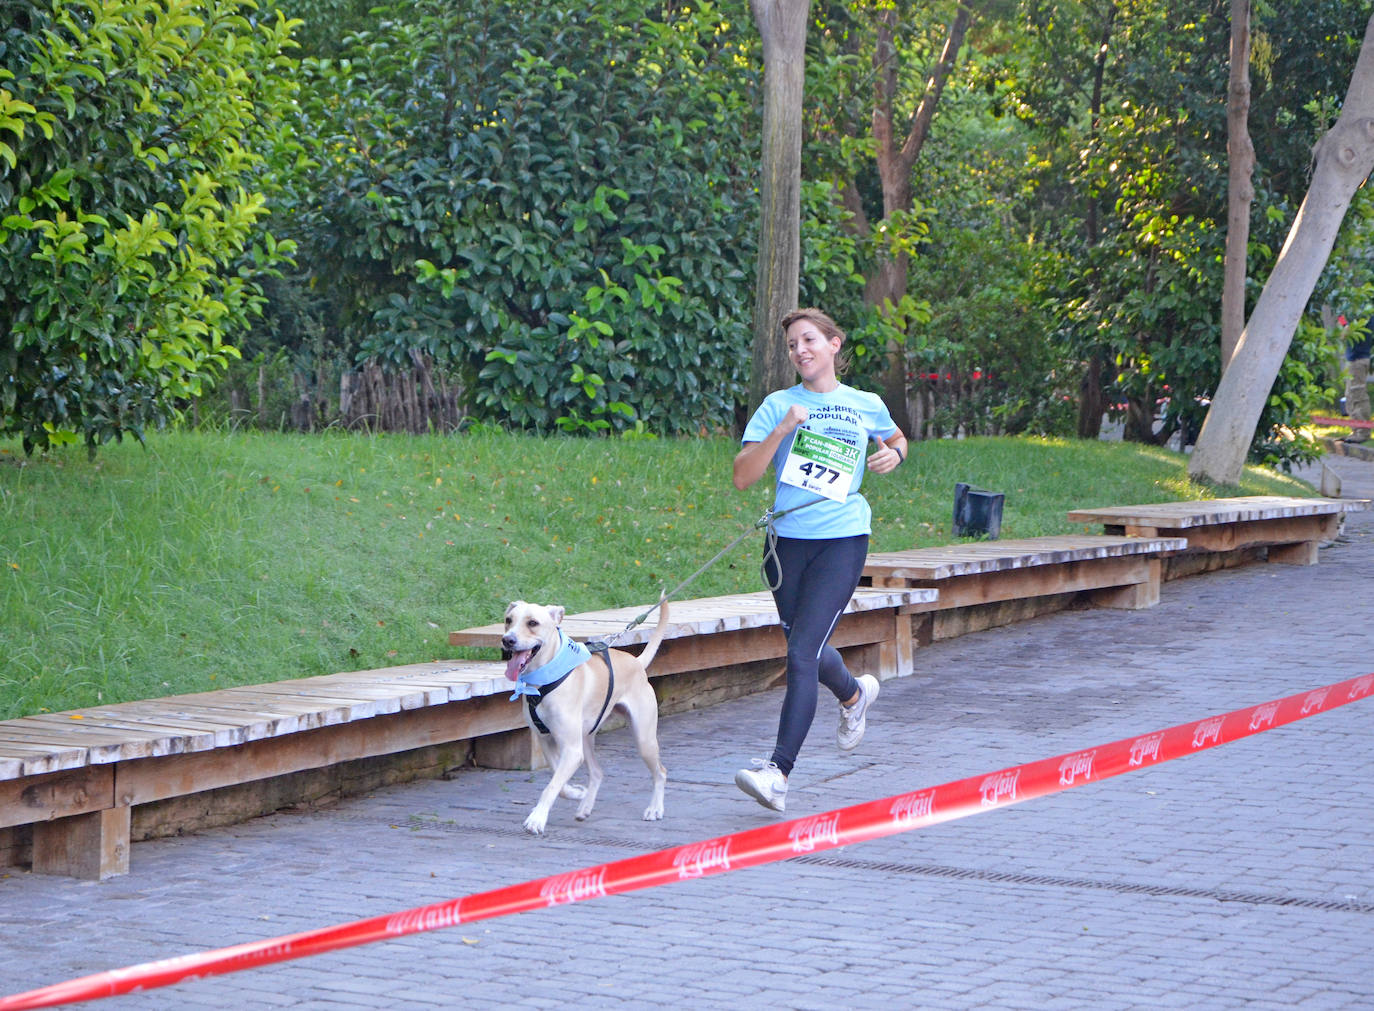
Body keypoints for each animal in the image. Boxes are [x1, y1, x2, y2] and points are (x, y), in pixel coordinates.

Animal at [505, 596, 670, 835]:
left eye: (532, 623)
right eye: (508, 620)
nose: (507, 640)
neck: (543, 681)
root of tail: (637, 663)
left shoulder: (572, 750)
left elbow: (551, 786)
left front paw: (537, 819)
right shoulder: (547, 741)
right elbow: (558, 782)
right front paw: (576, 793)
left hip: (644, 739)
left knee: (661, 772)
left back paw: (655, 809)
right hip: (586, 739)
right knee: (598, 772)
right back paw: (585, 806)